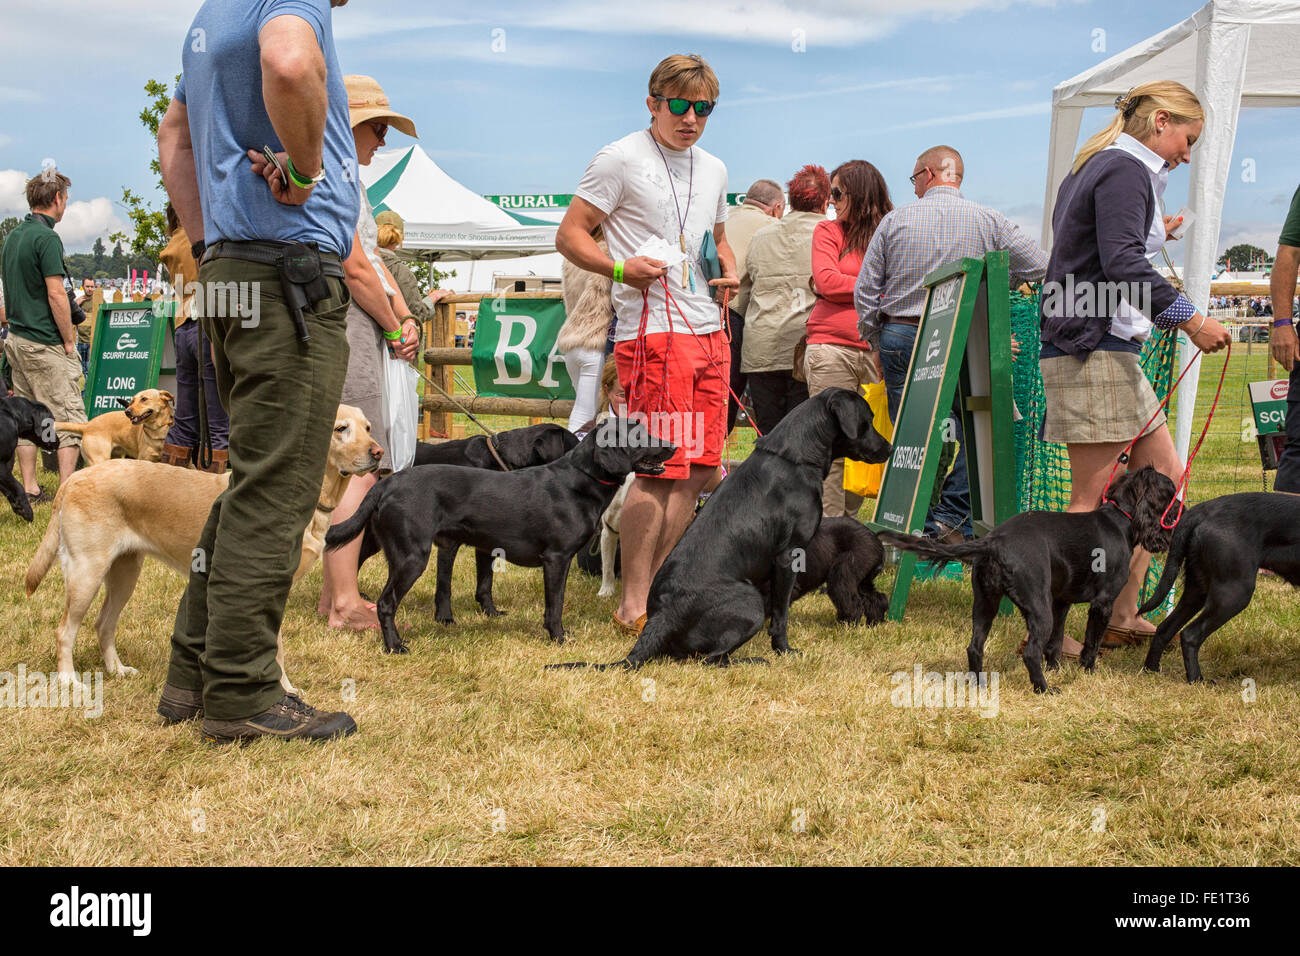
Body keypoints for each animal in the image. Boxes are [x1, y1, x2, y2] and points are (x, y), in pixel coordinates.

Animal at [26, 403, 379, 697]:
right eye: (341, 428)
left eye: (368, 427)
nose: (378, 452)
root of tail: (74, 478)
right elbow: (274, 648)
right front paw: (281, 690)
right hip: (87, 574)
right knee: (64, 631)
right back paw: (69, 681)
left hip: (125, 573)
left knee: (103, 624)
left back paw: (117, 670)